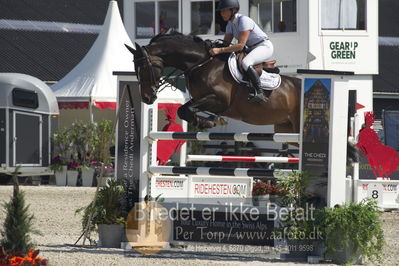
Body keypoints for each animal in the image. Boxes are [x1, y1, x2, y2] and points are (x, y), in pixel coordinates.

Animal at [126, 31, 302, 135]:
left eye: (144, 67)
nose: (146, 98)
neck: (202, 63)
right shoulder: (199, 98)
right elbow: (183, 110)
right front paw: (206, 122)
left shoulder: (220, 101)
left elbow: (189, 109)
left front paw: (210, 122)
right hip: (286, 128)